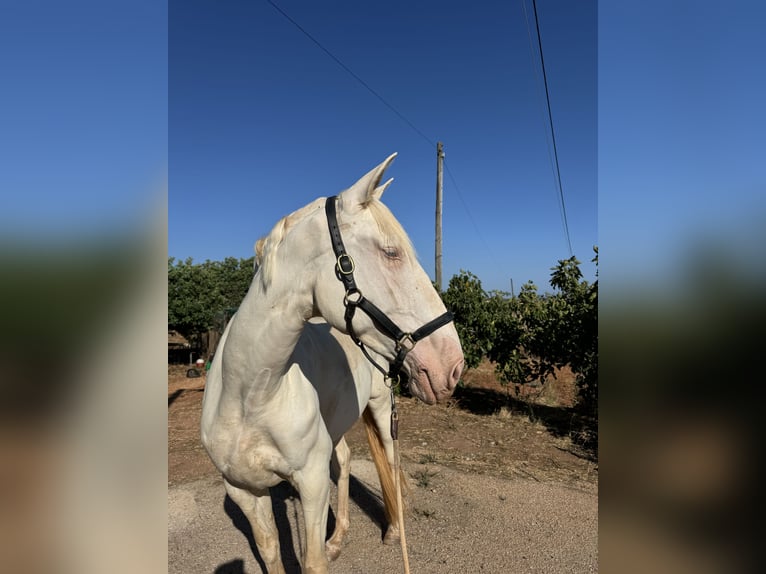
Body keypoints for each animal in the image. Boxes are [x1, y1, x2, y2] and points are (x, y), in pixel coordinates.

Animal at [201, 154, 464, 574]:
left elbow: (312, 561)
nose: (452, 365)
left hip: (382, 411)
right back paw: (338, 536)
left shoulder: (310, 483)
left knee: (390, 463)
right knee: (343, 460)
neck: (252, 394)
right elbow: (270, 551)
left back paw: (393, 530)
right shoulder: (244, 489)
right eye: (391, 252)